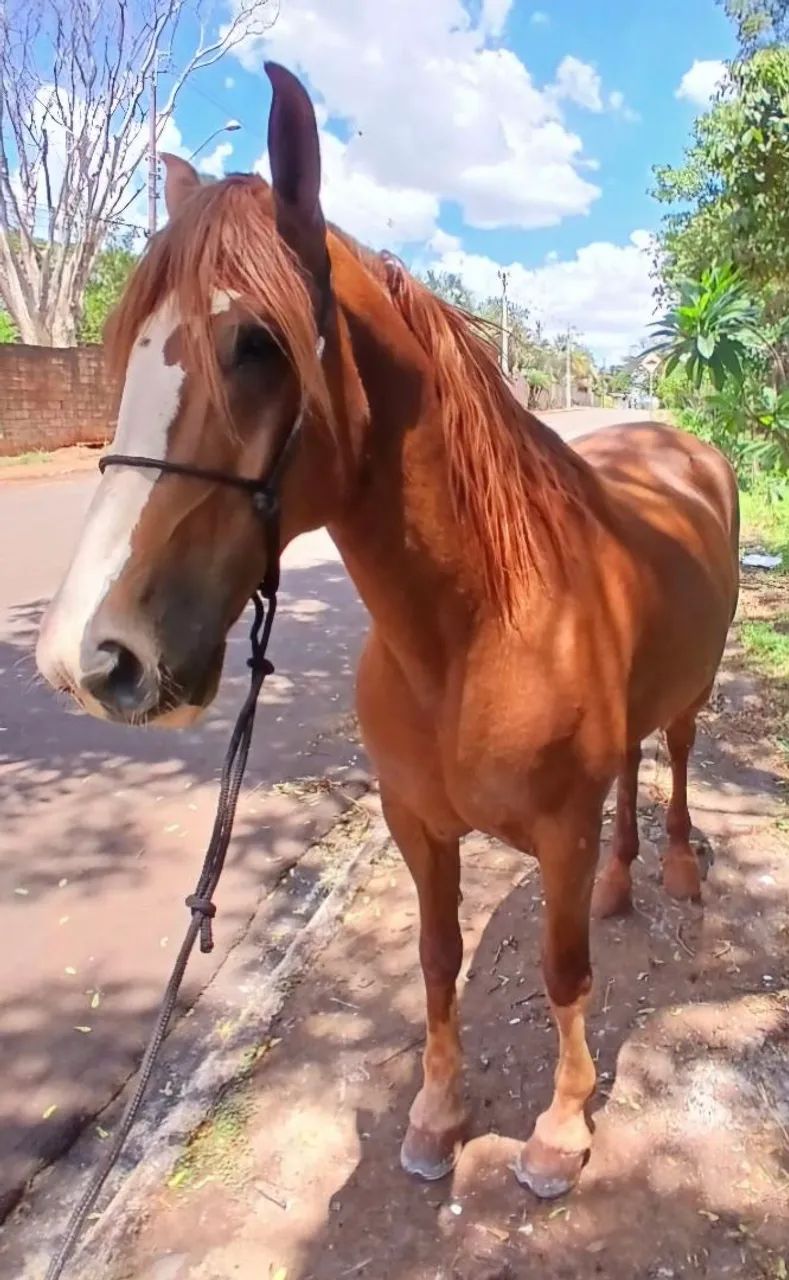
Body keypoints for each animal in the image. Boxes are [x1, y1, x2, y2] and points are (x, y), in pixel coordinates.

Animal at [36, 63, 739, 1200]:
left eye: (257, 345)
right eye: (126, 352)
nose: (86, 656)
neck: (472, 634)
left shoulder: (557, 830)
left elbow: (563, 969)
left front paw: (559, 1129)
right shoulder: (417, 825)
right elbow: (436, 960)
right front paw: (436, 1115)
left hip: (692, 691)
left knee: (671, 756)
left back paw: (671, 870)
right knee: (633, 772)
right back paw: (624, 879)